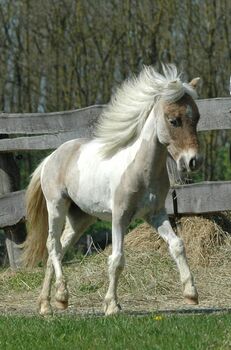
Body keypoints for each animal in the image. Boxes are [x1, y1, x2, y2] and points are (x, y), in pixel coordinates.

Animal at [23, 64, 202, 316]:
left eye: (196, 117)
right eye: (173, 120)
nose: (193, 161)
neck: (141, 170)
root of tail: (51, 157)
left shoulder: (155, 215)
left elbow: (177, 245)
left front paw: (191, 294)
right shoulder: (120, 217)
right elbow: (117, 259)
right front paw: (111, 306)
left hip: (80, 219)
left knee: (56, 250)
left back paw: (48, 305)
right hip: (56, 206)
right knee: (53, 246)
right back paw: (61, 296)